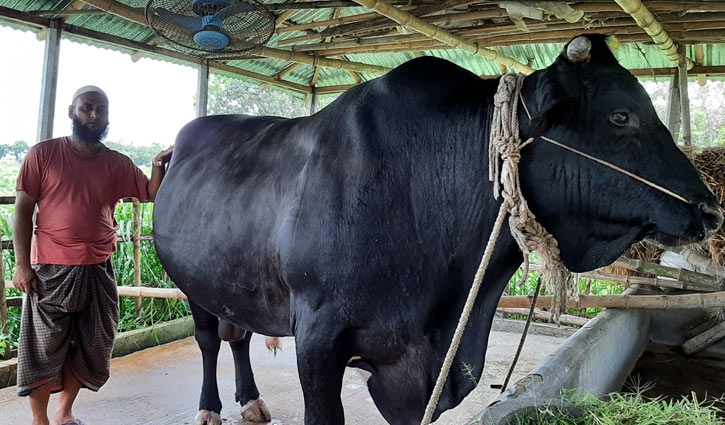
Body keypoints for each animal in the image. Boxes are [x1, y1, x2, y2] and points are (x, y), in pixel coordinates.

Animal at [153, 36, 720, 424]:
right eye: (621, 115)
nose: (712, 210)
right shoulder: (316, 337)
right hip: (190, 282)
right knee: (211, 338)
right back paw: (211, 406)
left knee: (239, 333)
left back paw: (250, 400)